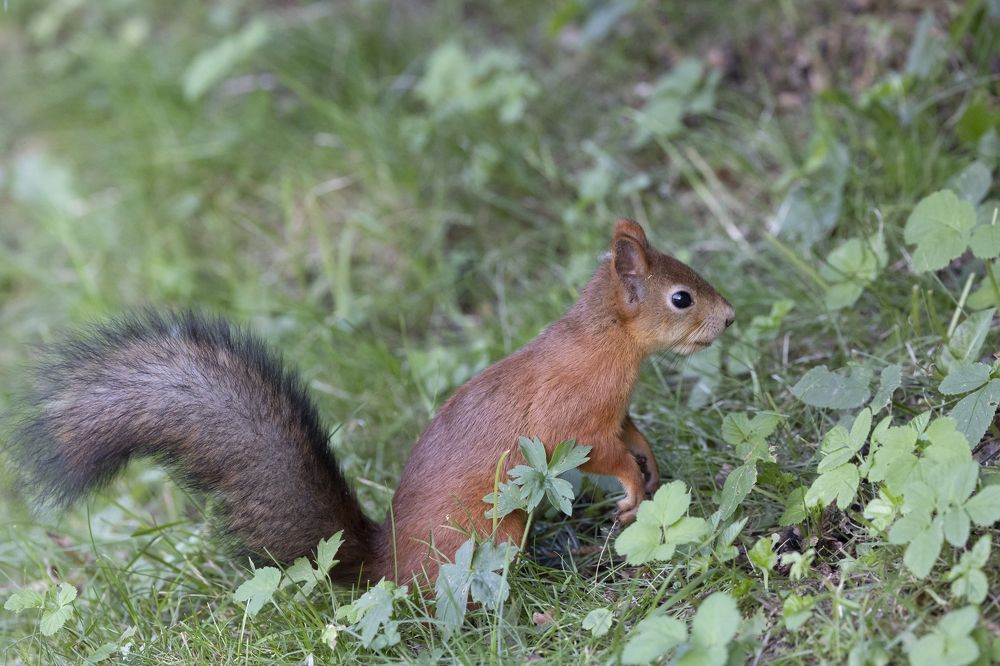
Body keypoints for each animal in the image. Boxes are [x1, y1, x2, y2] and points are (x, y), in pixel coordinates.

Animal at [8, 219, 734, 586]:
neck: (605, 344)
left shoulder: (616, 412)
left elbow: (632, 434)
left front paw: (650, 465)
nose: (729, 317)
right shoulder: (575, 419)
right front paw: (632, 494)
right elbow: (606, 455)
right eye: (681, 298)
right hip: (488, 532)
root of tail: (387, 562)